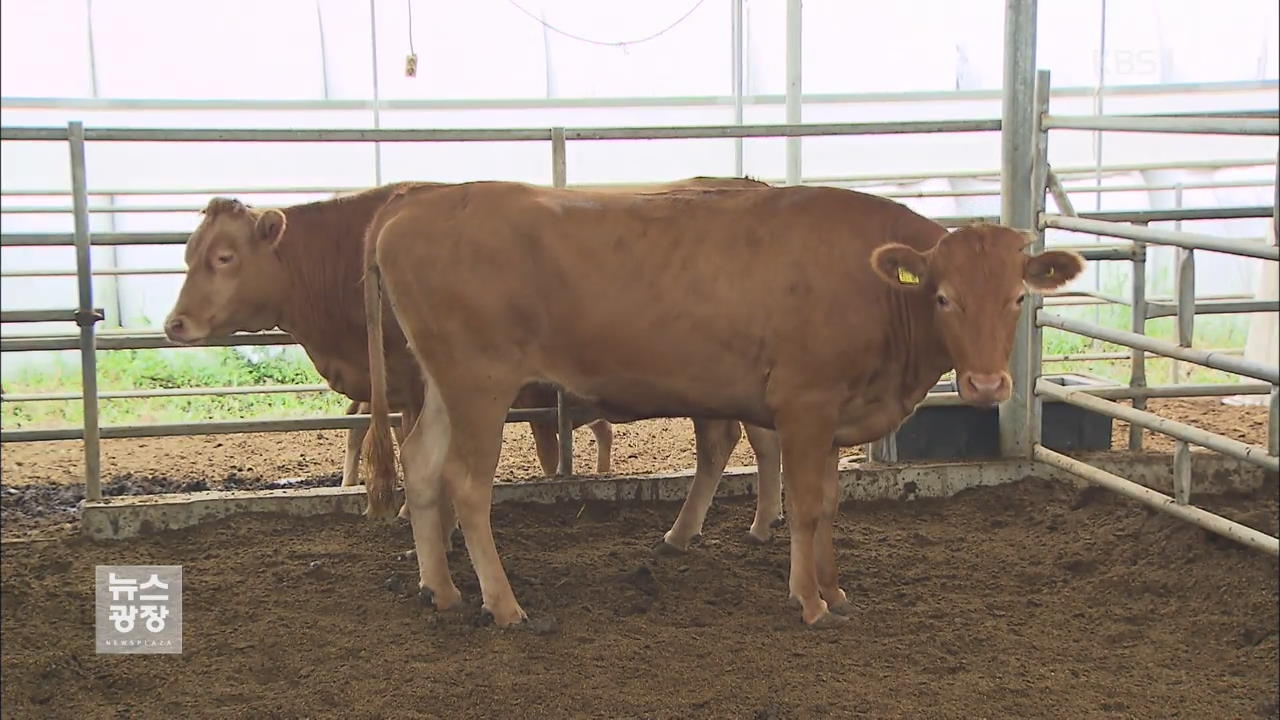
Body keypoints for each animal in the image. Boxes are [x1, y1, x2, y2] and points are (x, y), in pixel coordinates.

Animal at [366, 181, 1085, 625]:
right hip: (479, 382)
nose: (987, 386)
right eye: (943, 297)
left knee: (422, 466)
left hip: (443, 383)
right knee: (466, 483)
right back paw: (504, 604)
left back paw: (443, 590)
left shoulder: (832, 417)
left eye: (1017, 298)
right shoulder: (805, 404)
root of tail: (415, 205)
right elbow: (804, 508)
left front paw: (834, 588)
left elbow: (829, 505)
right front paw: (808, 601)